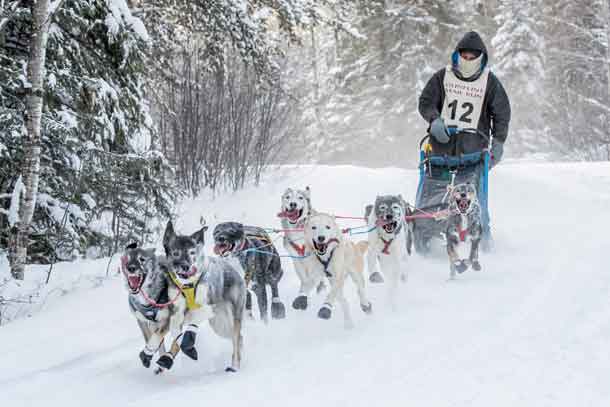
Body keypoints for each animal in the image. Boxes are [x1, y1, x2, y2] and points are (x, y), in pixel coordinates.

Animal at [162, 222, 249, 374]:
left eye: (192, 252)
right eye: (176, 253)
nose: (186, 266)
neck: (188, 285)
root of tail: (232, 268)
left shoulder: (207, 307)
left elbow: (193, 321)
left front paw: (188, 344)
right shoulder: (177, 313)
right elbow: (176, 334)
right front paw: (168, 357)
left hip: (234, 315)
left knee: (236, 337)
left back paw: (235, 366)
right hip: (220, 325)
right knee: (238, 339)